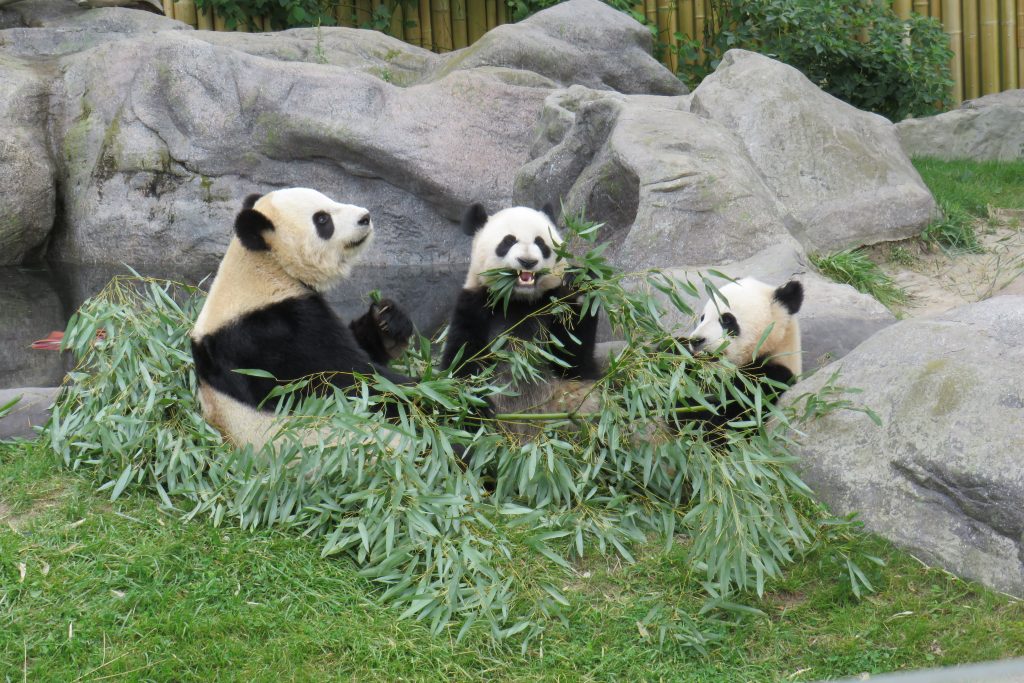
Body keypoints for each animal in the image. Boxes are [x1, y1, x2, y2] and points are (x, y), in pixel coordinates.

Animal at [190, 188, 413, 454]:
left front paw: (389, 322)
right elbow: (351, 378)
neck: (267, 266)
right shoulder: (274, 334)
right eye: (322, 219)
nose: (365, 217)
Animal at [440, 200, 598, 421]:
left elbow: (574, 358)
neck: (519, 300)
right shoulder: (474, 306)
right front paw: (475, 406)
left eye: (541, 243)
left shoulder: (552, 303)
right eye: (507, 242)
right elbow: (462, 360)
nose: (528, 262)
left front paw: (578, 286)